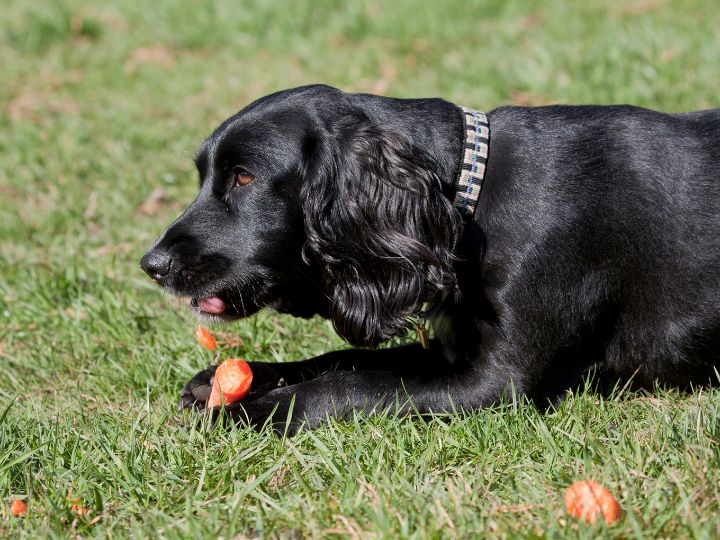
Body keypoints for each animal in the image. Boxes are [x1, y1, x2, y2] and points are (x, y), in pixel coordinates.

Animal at [141, 85, 720, 434]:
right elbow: (344, 360)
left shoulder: (495, 385)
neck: (467, 197)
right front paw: (238, 379)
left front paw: (253, 409)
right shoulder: (448, 353)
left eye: (244, 178)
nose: (152, 265)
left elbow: (352, 385)